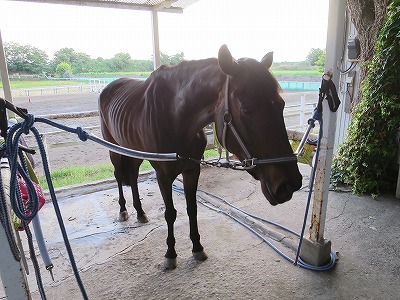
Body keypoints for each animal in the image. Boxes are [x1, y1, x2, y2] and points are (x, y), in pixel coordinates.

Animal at [98, 45, 302, 270]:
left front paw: (197, 247)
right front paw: (170, 254)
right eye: (247, 109)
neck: (174, 116)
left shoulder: (192, 169)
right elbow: (170, 213)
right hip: (115, 149)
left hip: (132, 150)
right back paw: (123, 210)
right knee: (119, 176)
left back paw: (141, 212)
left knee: (133, 176)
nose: (290, 183)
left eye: (281, 104)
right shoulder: (163, 175)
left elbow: (192, 209)